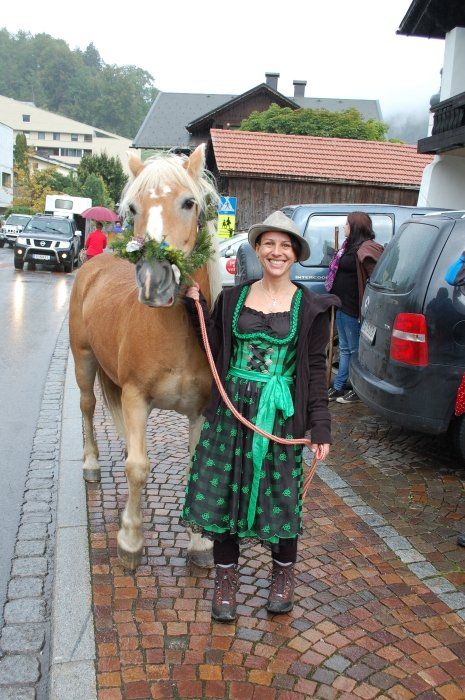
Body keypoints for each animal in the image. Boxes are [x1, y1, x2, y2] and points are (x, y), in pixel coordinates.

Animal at [69, 144, 221, 569]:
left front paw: (199, 541)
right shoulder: (136, 396)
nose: (155, 280)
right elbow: (138, 469)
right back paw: (92, 464)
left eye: (188, 203)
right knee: (88, 407)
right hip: (83, 360)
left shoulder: (202, 408)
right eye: (133, 207)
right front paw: (131, 540)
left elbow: (193, 467)